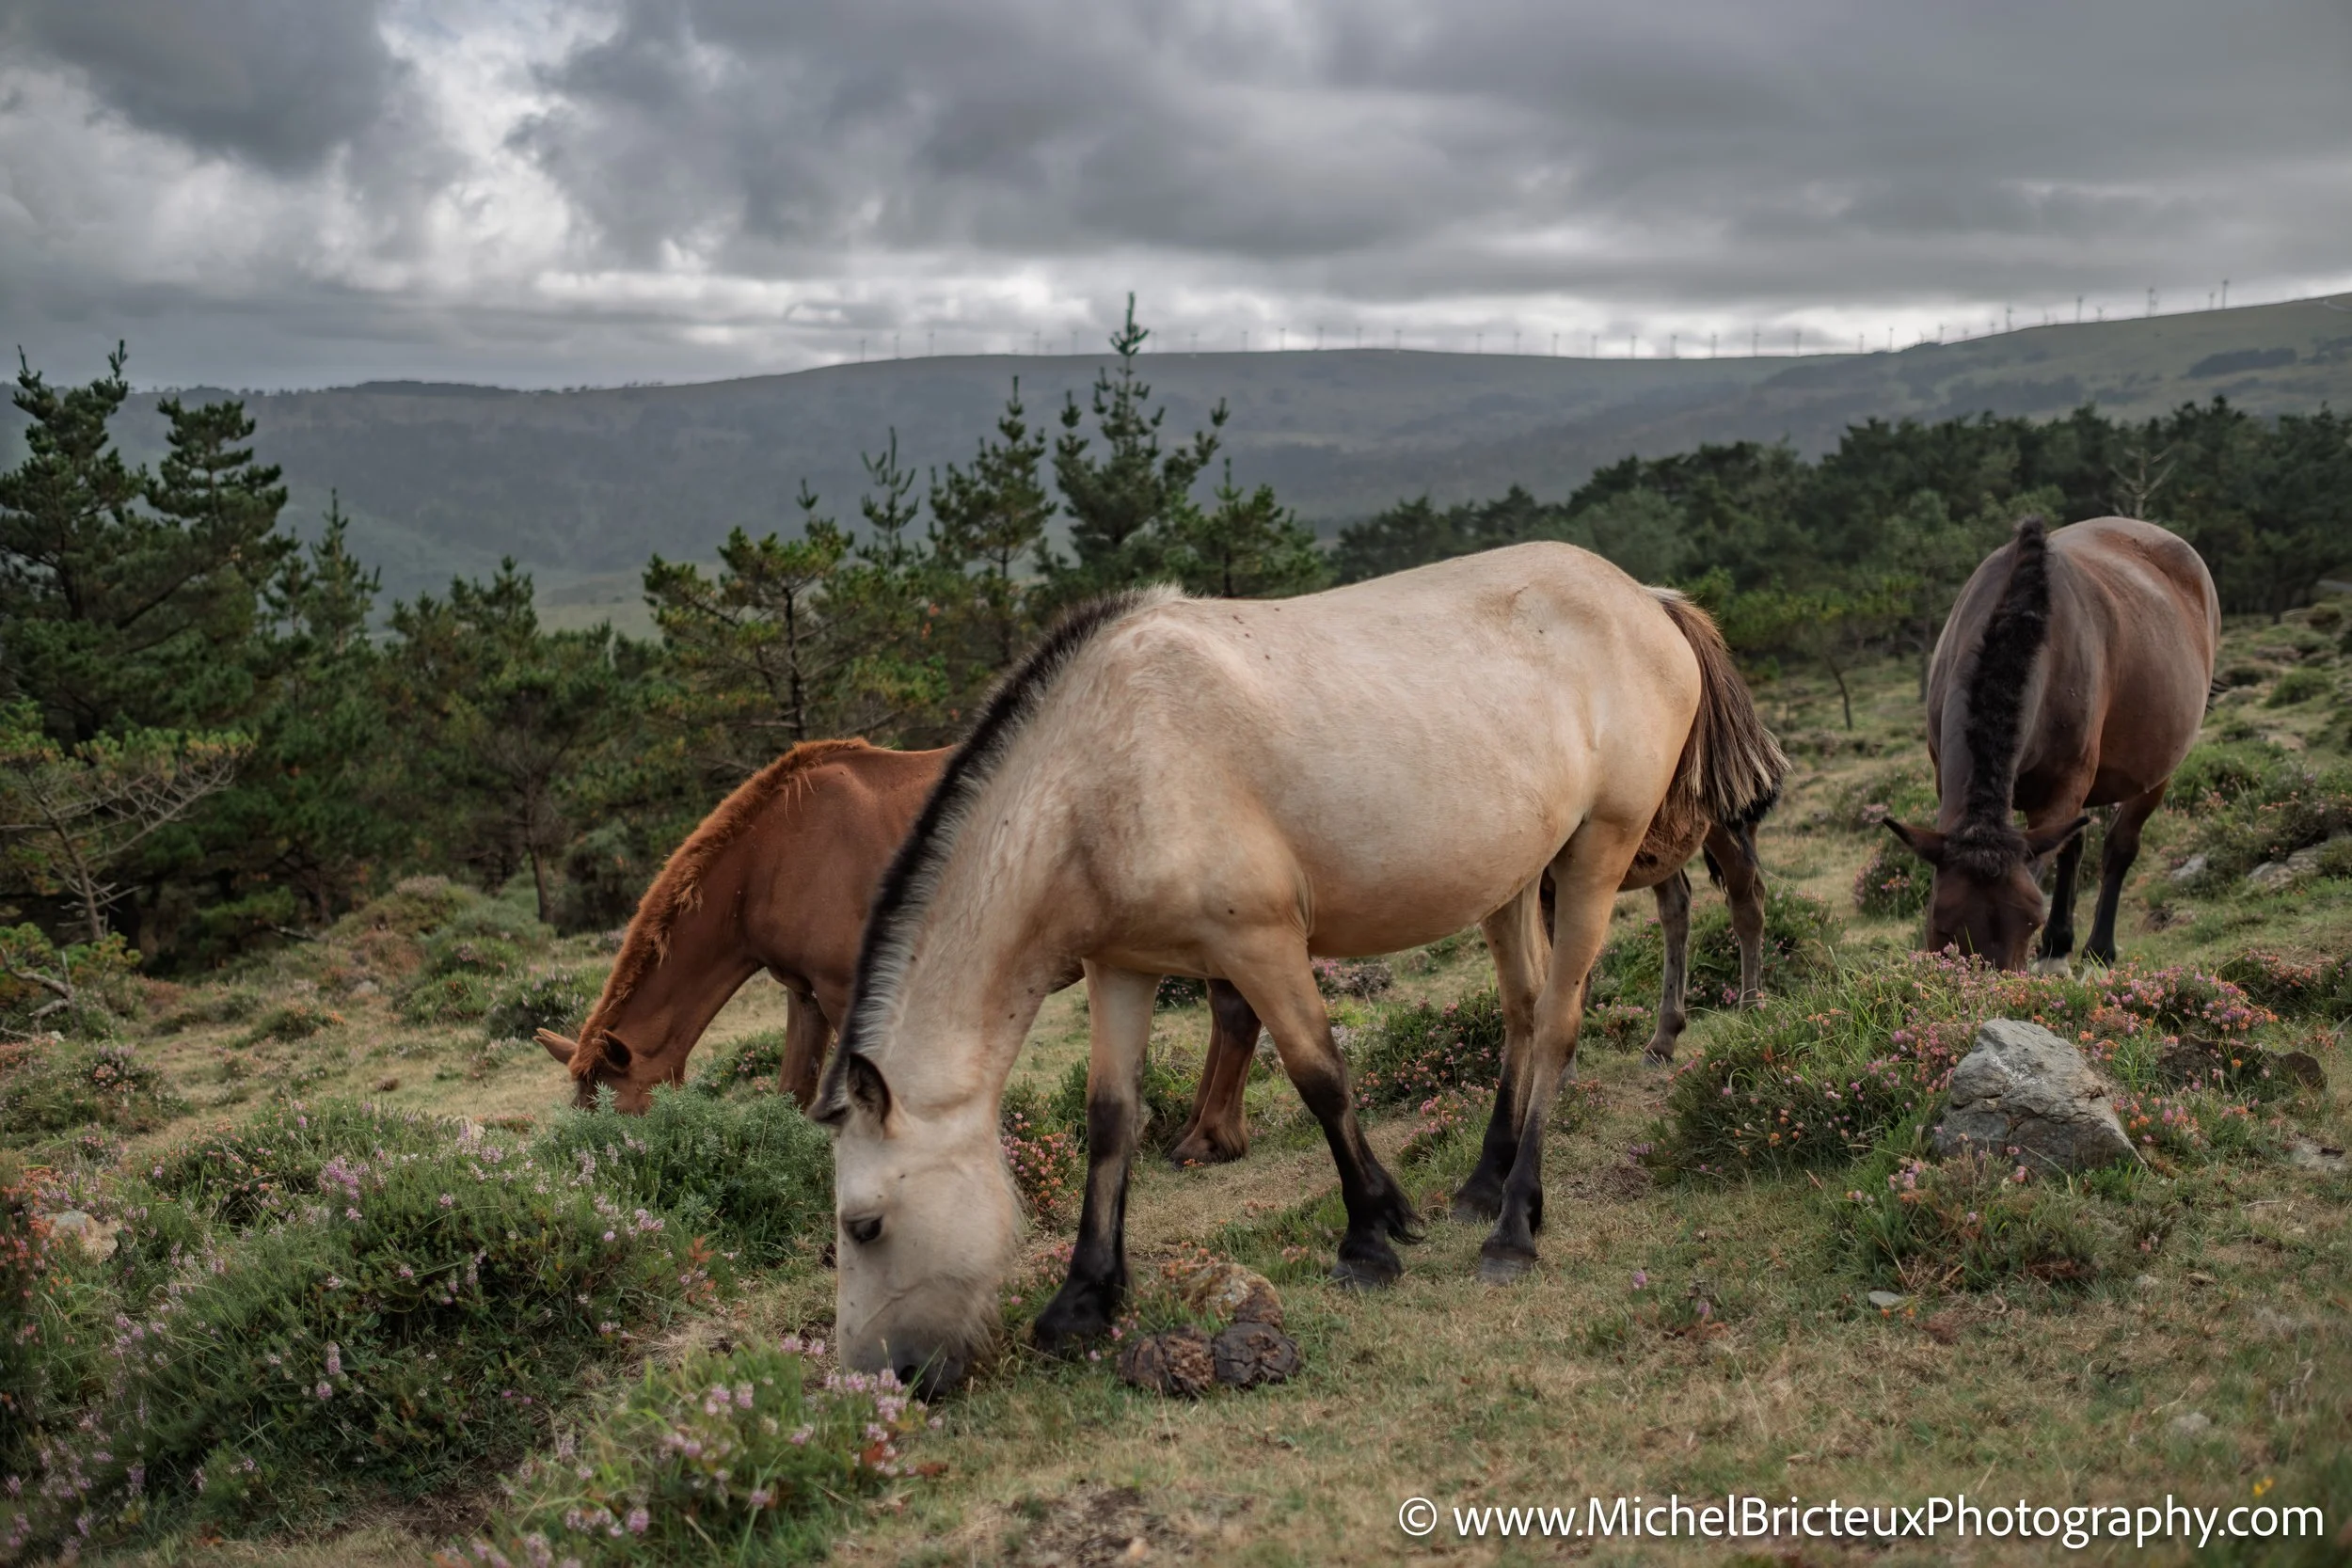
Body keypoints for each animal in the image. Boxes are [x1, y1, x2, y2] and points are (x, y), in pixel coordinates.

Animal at [814, 544, 1785, 1391]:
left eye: (864, 1224)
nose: (882, 1378)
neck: (1105, 771)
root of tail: (1645, 597)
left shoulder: (1263, 943)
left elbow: (1321, 1075)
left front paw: (1371, 1234)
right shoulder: (1119, 966)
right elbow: (1110, 1119)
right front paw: (1083, 1300)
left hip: (1595, 858)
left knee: (1555, 1025)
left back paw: (1513, 1227)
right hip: (1512, 878)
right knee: (1520, 1008)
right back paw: (1483, 1184)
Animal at [1882, 516, 2218, 971]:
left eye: (2029, 922)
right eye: (1942, 923)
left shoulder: (2063, 787)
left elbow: (2047, 860)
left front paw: (2053, 947)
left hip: (2156, 772)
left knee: (2119, 847)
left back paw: (2094, 952)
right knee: (2075, 845)